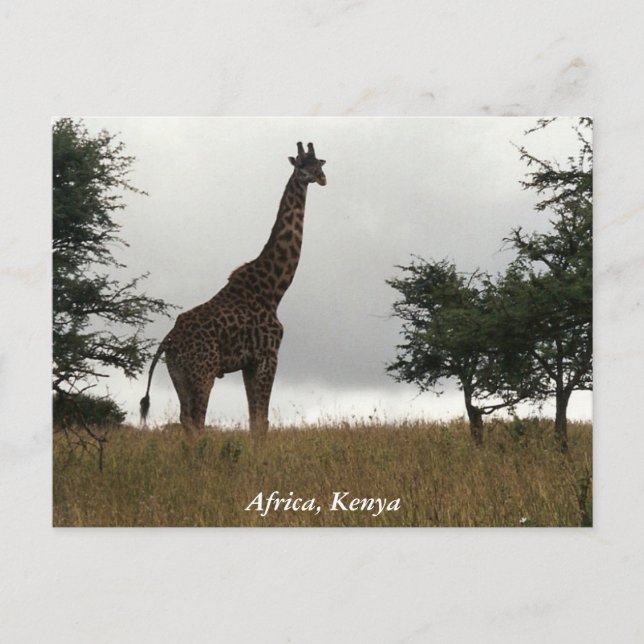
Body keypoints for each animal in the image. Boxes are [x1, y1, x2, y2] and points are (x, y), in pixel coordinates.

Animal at [140, 142, 326, 435]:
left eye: (319, 162)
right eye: (300, 164)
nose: (320, 177)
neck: (274, 290)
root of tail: (169, 339)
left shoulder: (249, 364)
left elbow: (255, 421)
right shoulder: (268, 355)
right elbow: (261, 422)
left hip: (179, 374)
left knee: (186, 419)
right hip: (203, 371)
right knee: (197, 420)